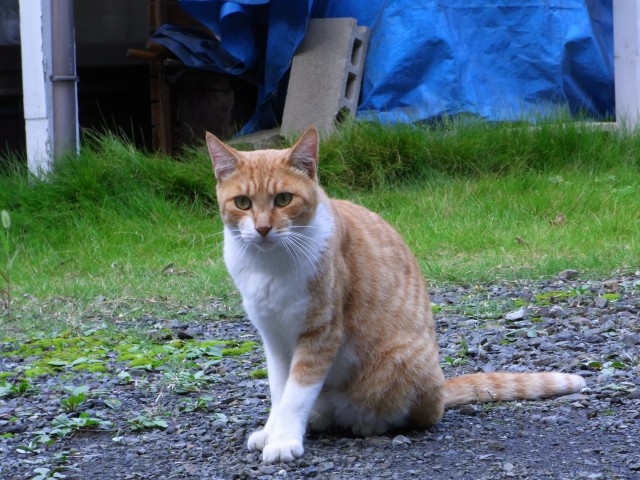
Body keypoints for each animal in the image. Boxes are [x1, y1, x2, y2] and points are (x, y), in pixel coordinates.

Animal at [205, 126, 586, 464]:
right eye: (242, 203)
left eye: (283, 199)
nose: (263, 228)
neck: (268, 267)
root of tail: (440, 390)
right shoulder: (274, 338)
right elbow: (279, 391)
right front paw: (273, 430)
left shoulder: (321, 333)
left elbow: (296, 393)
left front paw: (284, 439)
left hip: (401, 362)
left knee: (411, 416)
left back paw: (362, 423)